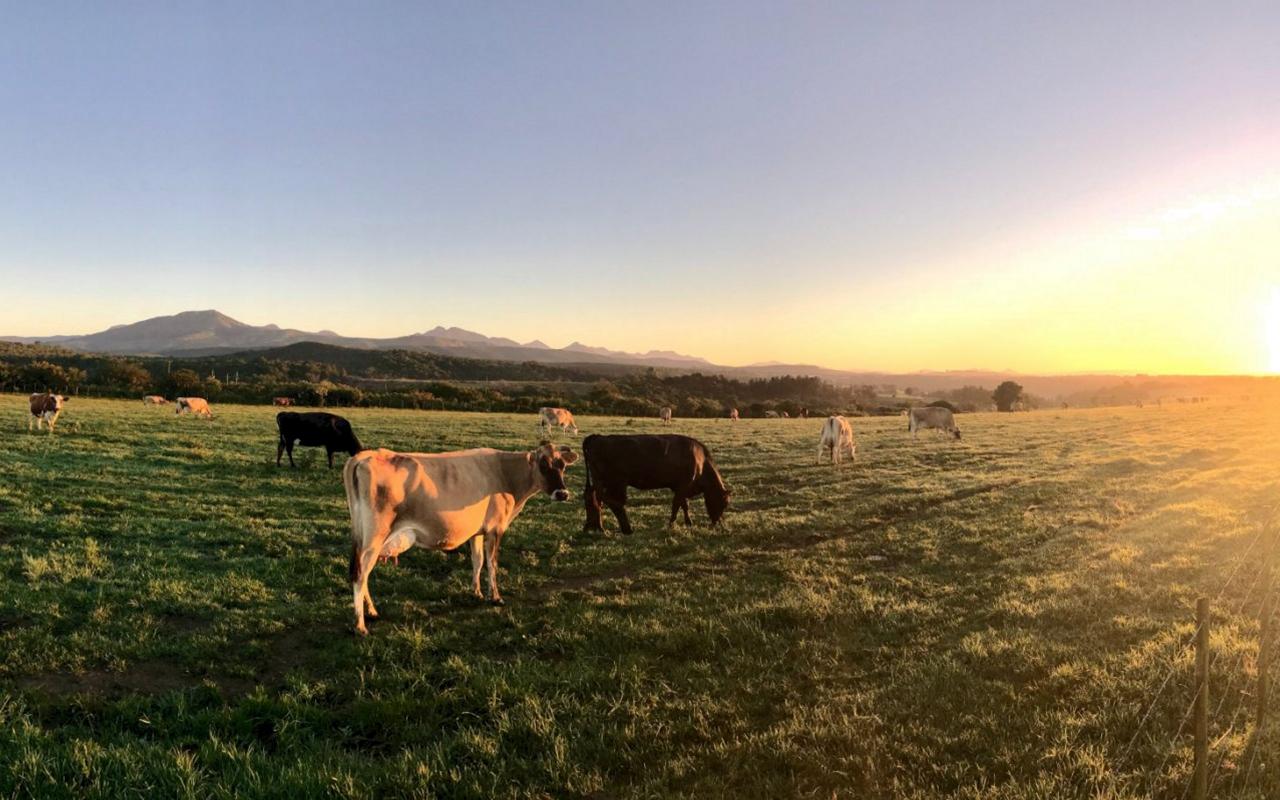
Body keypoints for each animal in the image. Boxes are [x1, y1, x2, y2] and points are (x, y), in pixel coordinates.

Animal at [340, 440, 581, 632]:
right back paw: (360, 625)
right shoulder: (496, 528)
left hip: (363, 537)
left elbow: (478, 561)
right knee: (360, 574)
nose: (562, 493)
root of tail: (365, 456)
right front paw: (496, 597)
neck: (505, 474)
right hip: (374, 538)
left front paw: (477, 592)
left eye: (562, 466)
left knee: (363, 574)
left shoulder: (477, 531)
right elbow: (492, 563)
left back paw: (372, 612)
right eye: (543, 465)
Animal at [583, 432, 732, 532]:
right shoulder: (684, 485)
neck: (701, 461)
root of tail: (597, 437)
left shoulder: (678, 487)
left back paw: (592, 527)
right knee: (607, 500)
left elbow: (684, 505)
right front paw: (671, 524)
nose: (716, 523)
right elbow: (677, 505)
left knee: (593, 497)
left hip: (600, 481)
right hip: (612, 482)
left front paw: (688, 522)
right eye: (724, 504)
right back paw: (618, 528)